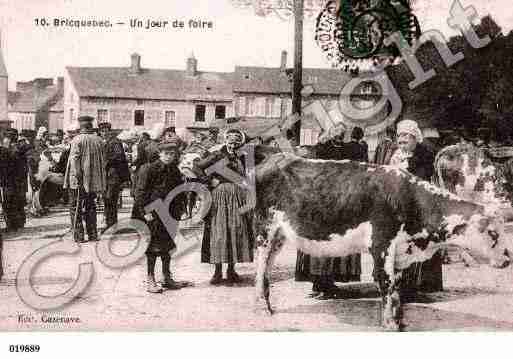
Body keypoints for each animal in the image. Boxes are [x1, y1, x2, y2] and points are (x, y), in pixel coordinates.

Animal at [254, 148, 510, 332]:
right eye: (493, 233)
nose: (508, 259)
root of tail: (275, 157)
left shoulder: (400, 251)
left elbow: (396, 288)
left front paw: (399, 321)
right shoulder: (382, 244)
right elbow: (386, 283)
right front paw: (390, 325)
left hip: (279, 235)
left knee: (267, 267)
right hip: (265, 229)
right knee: (260, 267)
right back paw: (262, 307)